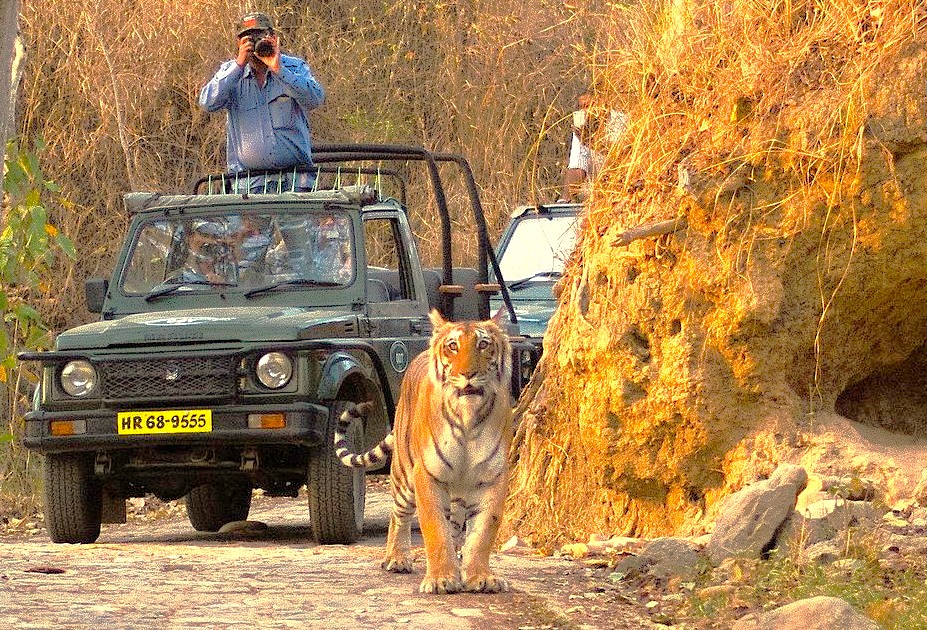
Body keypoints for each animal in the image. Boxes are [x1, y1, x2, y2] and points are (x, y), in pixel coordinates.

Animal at [333, 308, 513, 594]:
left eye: (483, 344)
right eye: (453, 346)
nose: (468, 374)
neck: (468, 417)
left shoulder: (492, 478)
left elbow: (483, 532)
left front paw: (479, 577)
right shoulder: (427, 475)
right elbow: (435, 529)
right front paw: (441, 579)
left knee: (454, 524)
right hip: (404, 475)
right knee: (398, 515)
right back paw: (396, 559)